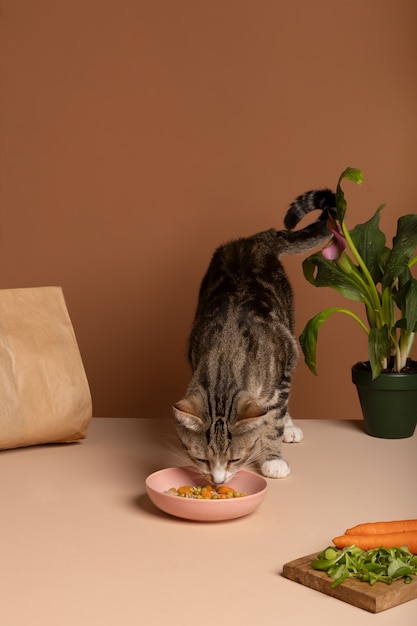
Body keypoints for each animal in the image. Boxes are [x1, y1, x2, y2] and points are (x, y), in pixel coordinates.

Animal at [172, 188, 334, 486]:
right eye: (201, 459)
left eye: (235, 459)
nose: (218, 481)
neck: (226, 357)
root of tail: (252, 240)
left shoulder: (281, 371)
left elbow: (273, 422)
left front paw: (274, 458)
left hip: (290, 338)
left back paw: (289, 427)